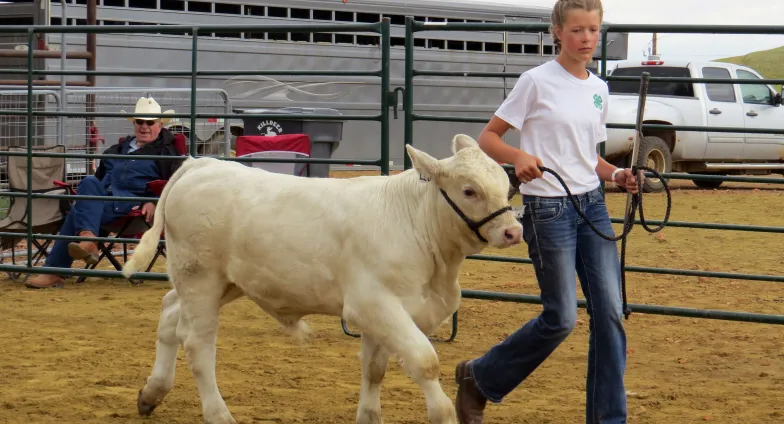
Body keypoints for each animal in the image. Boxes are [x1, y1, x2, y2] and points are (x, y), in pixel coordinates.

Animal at [122, 135, 520, 424]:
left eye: (506, 186)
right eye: (469, 190)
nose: (513, 232)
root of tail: (200, 164)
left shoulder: (385, 316)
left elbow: (374, 370)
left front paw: (368, 416)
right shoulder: (373, 303)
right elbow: (425, 361)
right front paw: (443, 413)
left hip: (222, 282)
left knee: (170, 315)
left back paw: (150, 393)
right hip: (200, 277)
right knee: (197, 344)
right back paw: (218, 414)